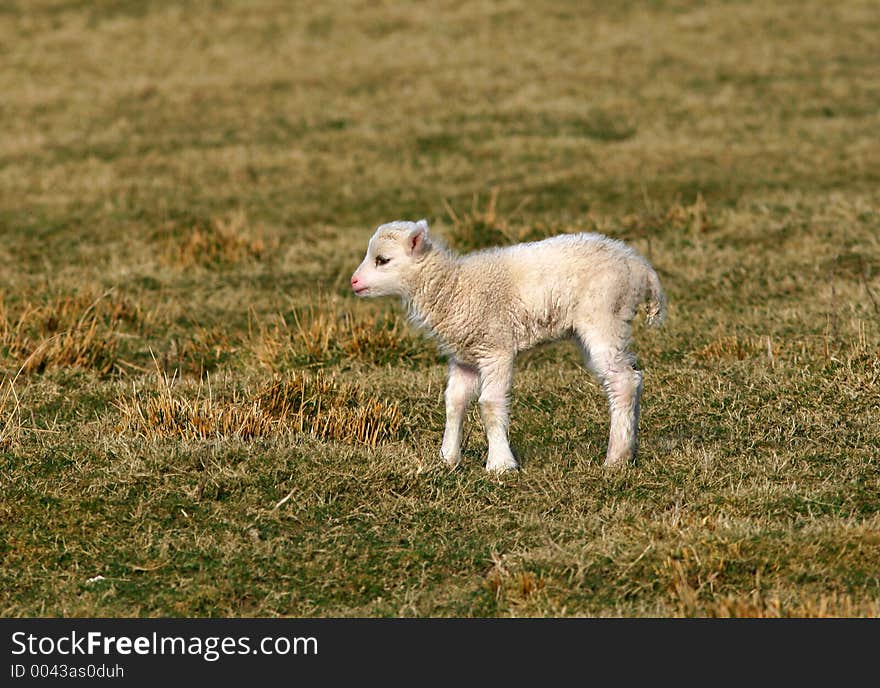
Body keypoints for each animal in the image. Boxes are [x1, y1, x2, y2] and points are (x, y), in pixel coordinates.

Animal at [348, 220, 664, 472]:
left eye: (382, 260)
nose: (354, 282)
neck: (453, 288)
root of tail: (640, 267)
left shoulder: (495, 348)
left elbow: (489, 404)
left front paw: (500, 464)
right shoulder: (465, 356)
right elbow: (454, 402)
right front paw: (448, 458)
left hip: (603, 316)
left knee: (623, 381)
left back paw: (616, 458)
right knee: (630, 379)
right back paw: (630, 448)